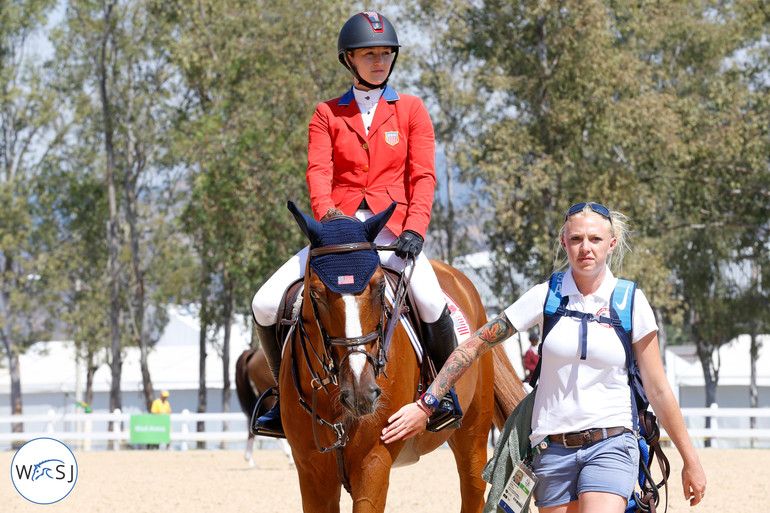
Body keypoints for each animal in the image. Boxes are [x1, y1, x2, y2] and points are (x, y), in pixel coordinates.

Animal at [276, 202, 520, 510]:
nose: (361, 393)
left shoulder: (374, 462)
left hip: (473, 433)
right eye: (316, 294)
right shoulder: (311, 473)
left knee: (473, 489)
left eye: (380, 287)